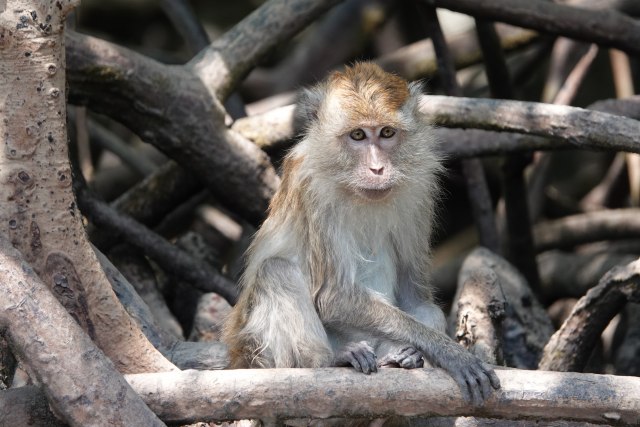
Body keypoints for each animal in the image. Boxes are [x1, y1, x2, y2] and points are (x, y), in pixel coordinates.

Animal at [224, 61, 500, 406]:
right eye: (357, 135)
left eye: (386, 133)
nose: (377, 169)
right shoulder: (312, 189)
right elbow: (334, 297)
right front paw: (449, 352)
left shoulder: (420, 192)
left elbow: (416, 298)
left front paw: (427, 345)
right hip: (257, 354)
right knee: (276, 270)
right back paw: (329, 361)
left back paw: (401, 357)